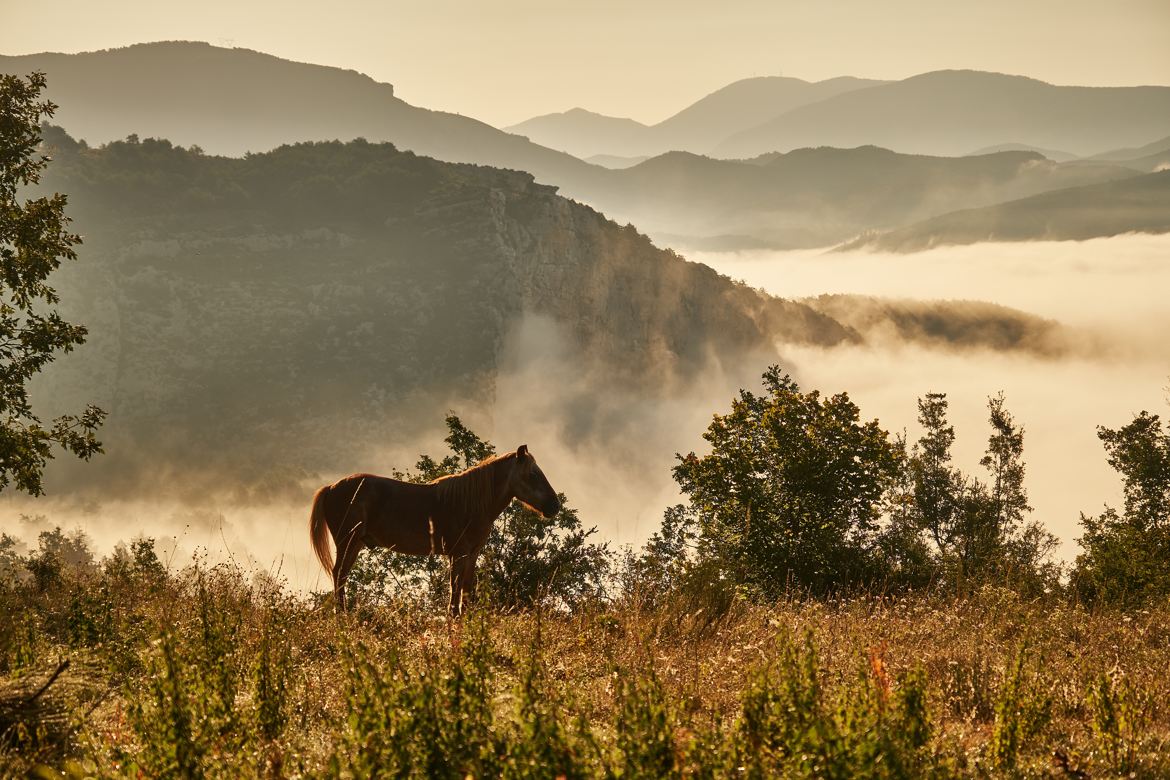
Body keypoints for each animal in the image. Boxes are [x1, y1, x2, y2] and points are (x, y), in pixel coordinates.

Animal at [308, 444, 559, 617]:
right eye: (533, 474)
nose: (554, 505)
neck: (470, 502)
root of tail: (331, 487)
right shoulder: (458, 554)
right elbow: (455, 593)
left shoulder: (472, 555)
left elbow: (466, 591)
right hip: (347, 542)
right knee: (339, 574)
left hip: (355, 544)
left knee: (341, 576)